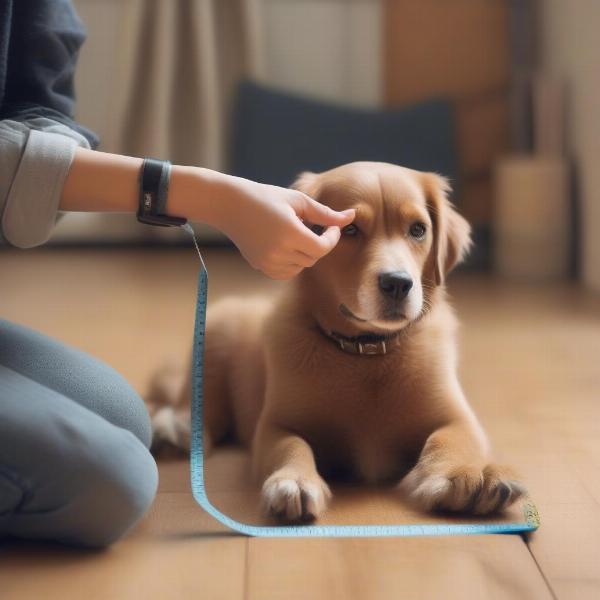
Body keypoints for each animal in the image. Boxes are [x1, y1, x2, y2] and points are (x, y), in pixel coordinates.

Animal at [151, 163, 524, 520]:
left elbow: (449, 440)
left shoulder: (457, 416)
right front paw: (294, 480)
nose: (398, 284)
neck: (367, 352)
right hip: (216, 329)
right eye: (350, 229)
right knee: (200, 410)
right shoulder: (275, 424)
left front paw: (460, 476)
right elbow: (290, 446)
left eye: (418, 229)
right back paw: (175, 428)